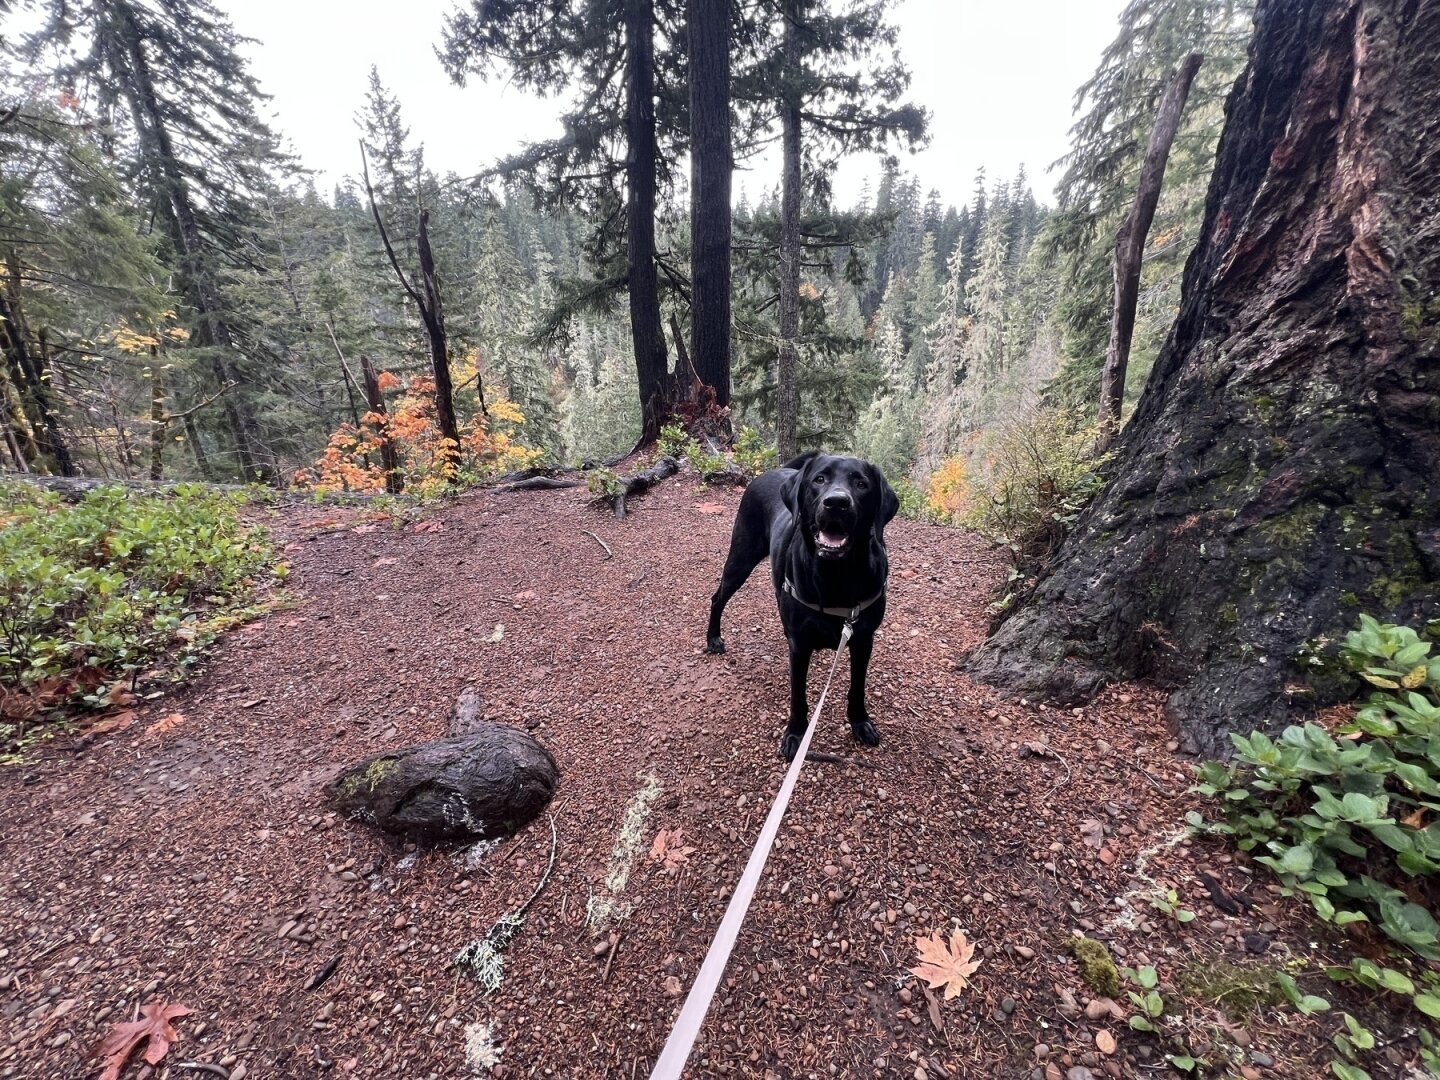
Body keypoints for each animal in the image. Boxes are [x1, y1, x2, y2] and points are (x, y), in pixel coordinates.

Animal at [702, 452, 892, 766]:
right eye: (819, 479)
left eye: (861, 484)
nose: (836, 502)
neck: (837, 576)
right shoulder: (801, 647)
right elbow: (798, 696)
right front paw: (795, 736)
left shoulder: (863, 639)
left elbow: (857, 687)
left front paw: (860, 722)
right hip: (741, 558)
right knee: (717, 598)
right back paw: (713, 638)